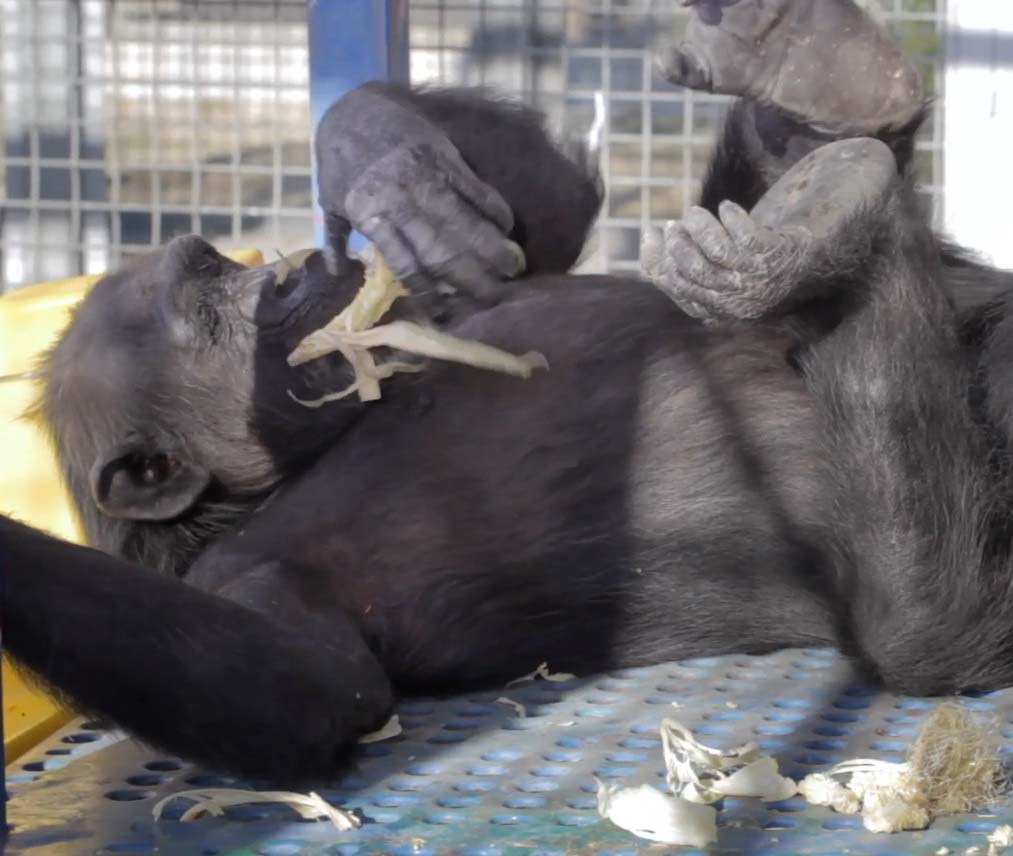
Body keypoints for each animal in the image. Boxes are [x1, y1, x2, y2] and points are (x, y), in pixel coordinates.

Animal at [1, 0, 996, 786]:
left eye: (214, 265)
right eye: (209, 311)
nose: (287, 276)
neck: (292, 464)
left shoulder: (447, 302)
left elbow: (538, 226)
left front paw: (382, 157)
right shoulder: (247, 576)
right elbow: (303, 688)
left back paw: (818, 87)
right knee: (923, 633)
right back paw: (843, 218)